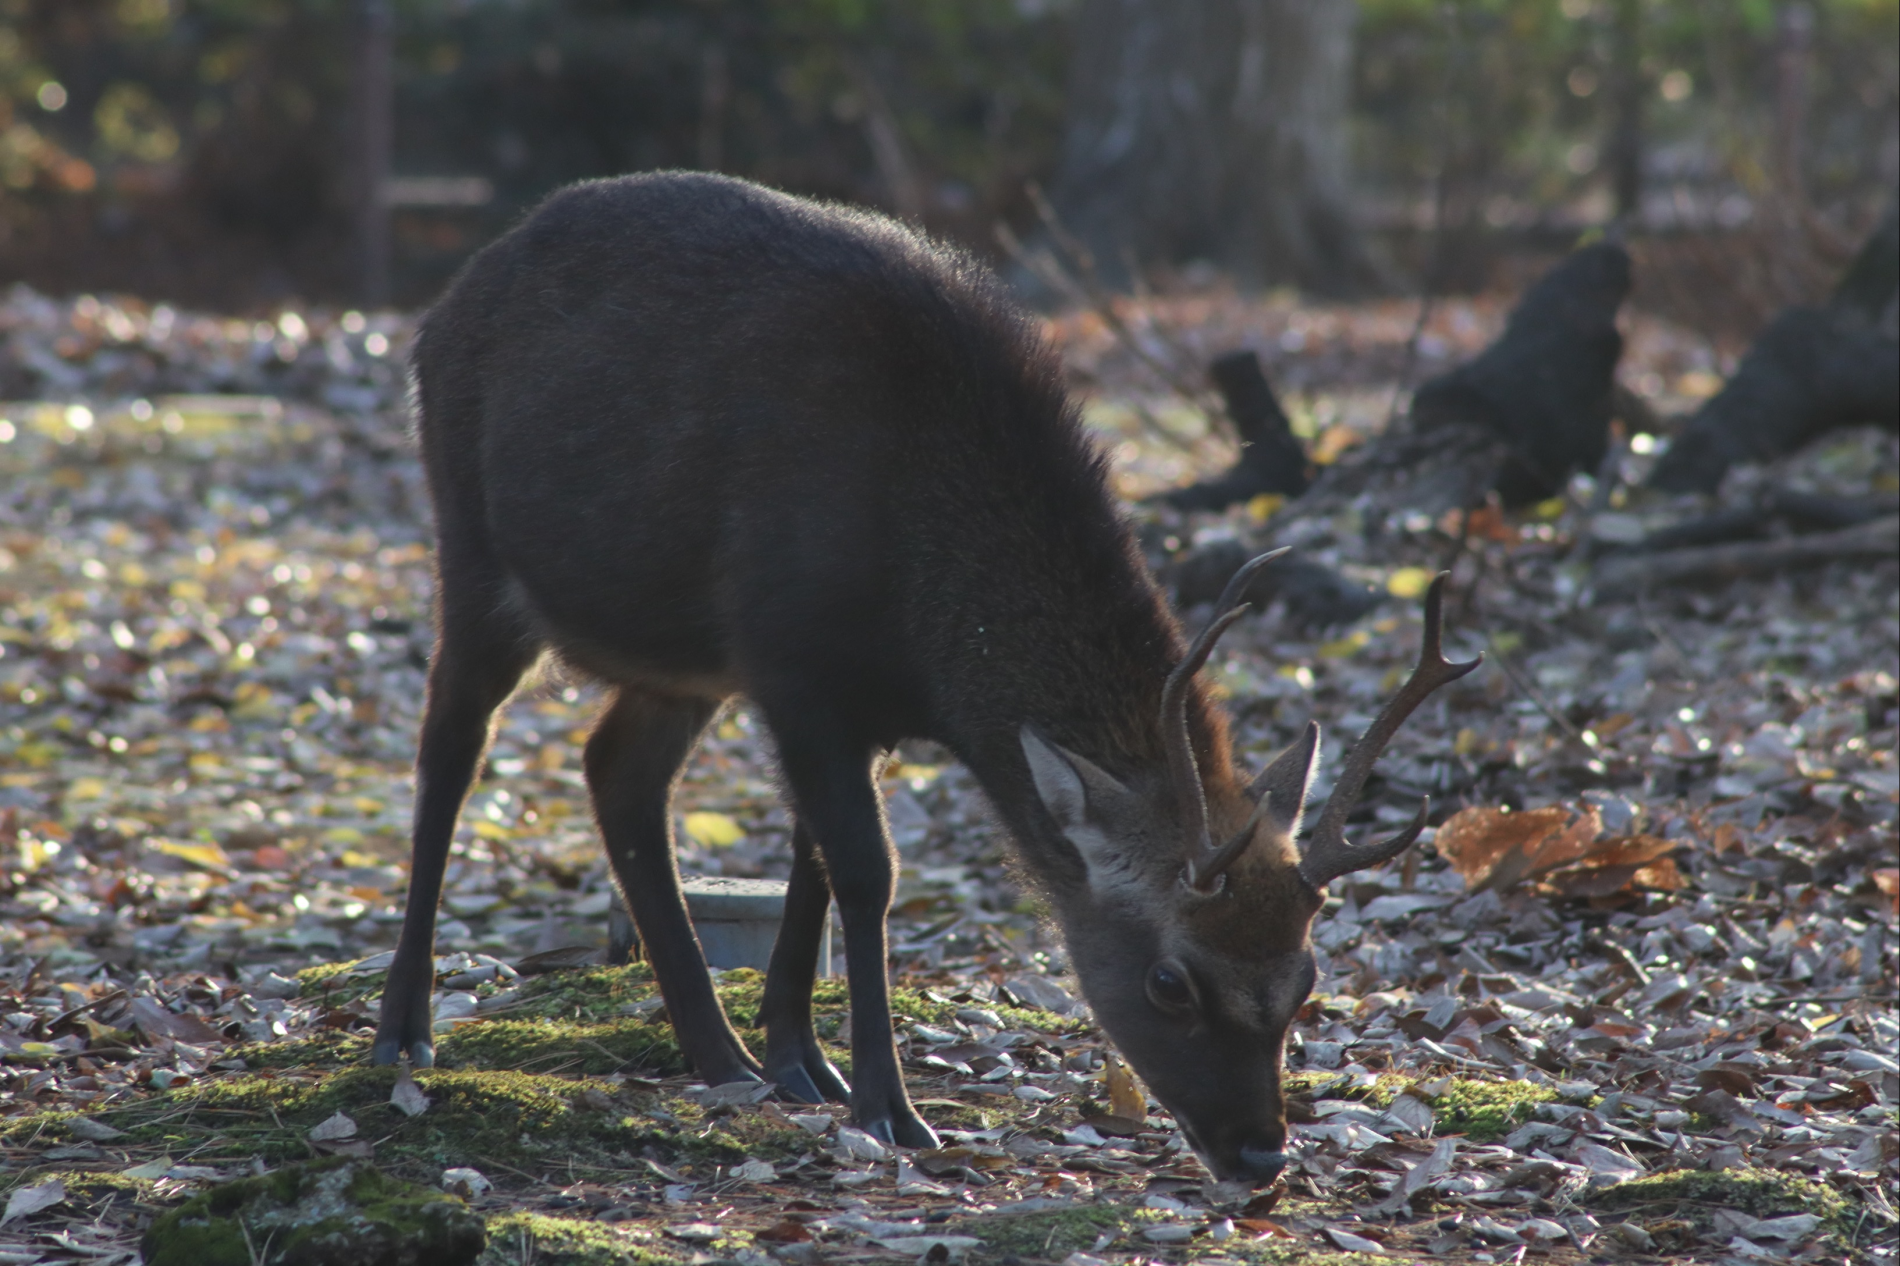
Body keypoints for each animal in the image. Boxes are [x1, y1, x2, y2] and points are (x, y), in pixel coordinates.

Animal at [362, 170, 1474, 1186]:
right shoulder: (794, 666)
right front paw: (887, 1108)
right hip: (471, 547)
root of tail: (442, 308)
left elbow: (811, 860)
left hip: (680, 660)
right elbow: (866, 871)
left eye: (1305, 977)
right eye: (1170, 980)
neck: (929, 624)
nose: (1260, 1155)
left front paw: (798, 1061)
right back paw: (403, 1029)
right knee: (447, 753)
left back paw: (715, 1052)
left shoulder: (836, 700)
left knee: (615, 769)